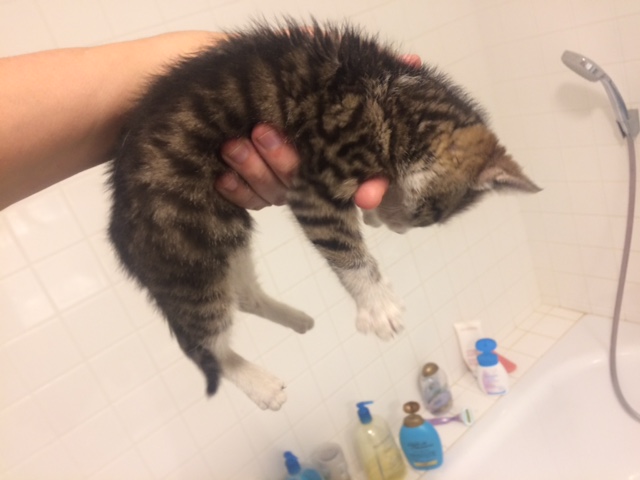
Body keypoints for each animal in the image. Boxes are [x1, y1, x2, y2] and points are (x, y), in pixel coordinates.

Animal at [108, 20, 539, 411]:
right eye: (426, 216)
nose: (402, 230)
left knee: (241, 294)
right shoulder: (318, 183)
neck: (396, 102)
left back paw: (297, 319)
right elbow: (343, 247)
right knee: (200, 339)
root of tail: (117, 229)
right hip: (186, 250)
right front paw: (377, 305)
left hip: (226, 231)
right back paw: (260, 385)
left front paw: (374, 217)